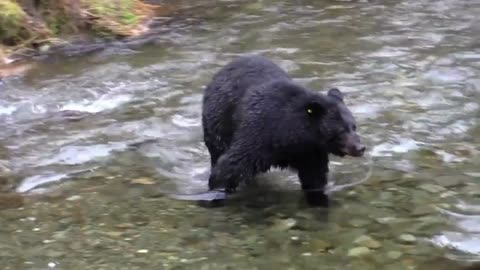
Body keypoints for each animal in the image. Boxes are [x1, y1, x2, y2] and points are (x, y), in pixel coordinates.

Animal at [202, 54, 364, 207]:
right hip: (218, 124)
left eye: (354, 126)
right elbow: (230, 166)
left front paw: (318, 200)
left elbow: (315, 178)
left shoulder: (310, 153)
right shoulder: (259, 133)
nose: (360, 148)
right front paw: (216, 192)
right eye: (341, 130)